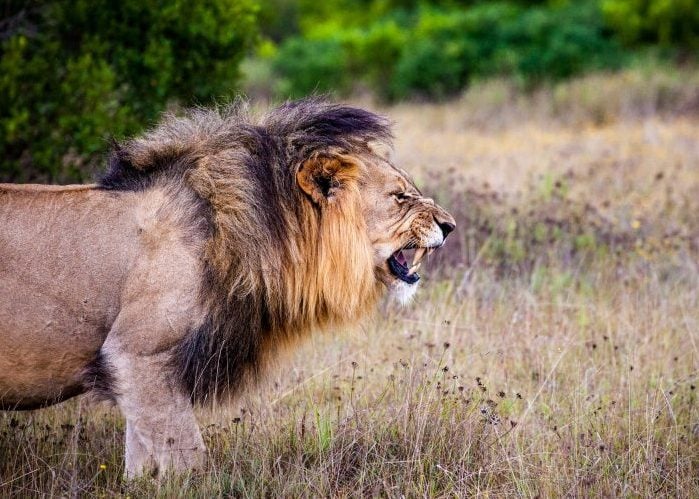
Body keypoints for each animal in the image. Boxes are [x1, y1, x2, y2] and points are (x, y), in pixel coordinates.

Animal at [0, 98, 455, 477]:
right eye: (400, 197)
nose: (450, 226)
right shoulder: (135, 354)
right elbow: (187, 458)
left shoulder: (139, 372)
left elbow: (142, 461)